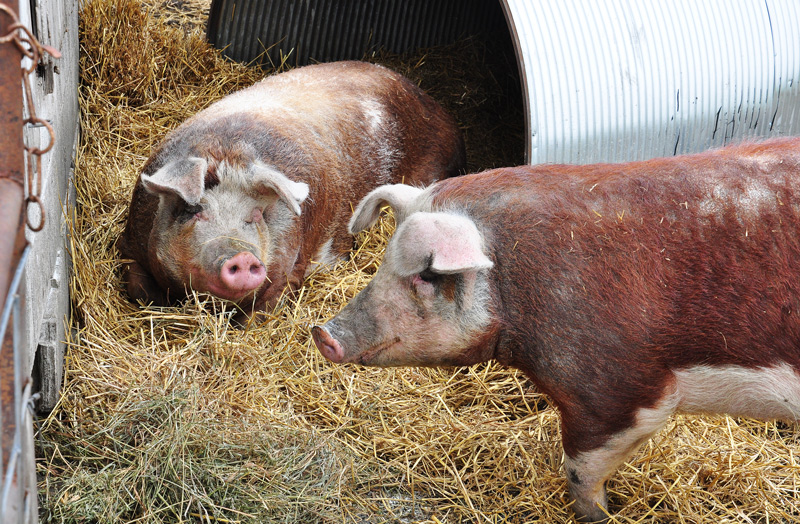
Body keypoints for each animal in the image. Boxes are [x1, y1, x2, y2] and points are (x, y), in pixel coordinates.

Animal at [117, 60, 465, 314]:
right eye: (193, 210)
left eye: (256, 215)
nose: (242, 256)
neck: (227, 152)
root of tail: (440, 111)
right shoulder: (130, 243)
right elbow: (139, 289)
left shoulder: (290, 266)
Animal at [312, 137, 800, 522]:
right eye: (383, 261)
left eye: (427, 275)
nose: (323, 333)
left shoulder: (617, 393)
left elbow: (580, 469)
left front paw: (596, 515)